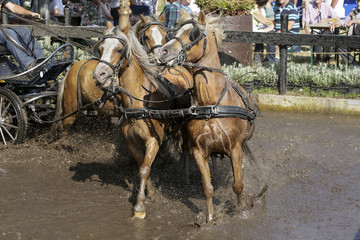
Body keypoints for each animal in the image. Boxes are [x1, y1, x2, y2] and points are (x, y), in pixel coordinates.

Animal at [154, 11, 258, 221]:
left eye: (193, 34)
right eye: (173, 33)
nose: (162, 52)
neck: (211, 105)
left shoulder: (235, 149)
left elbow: (238, 185)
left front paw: (242, 209)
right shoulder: (199, 151)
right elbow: (207, 188)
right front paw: (209, 219)